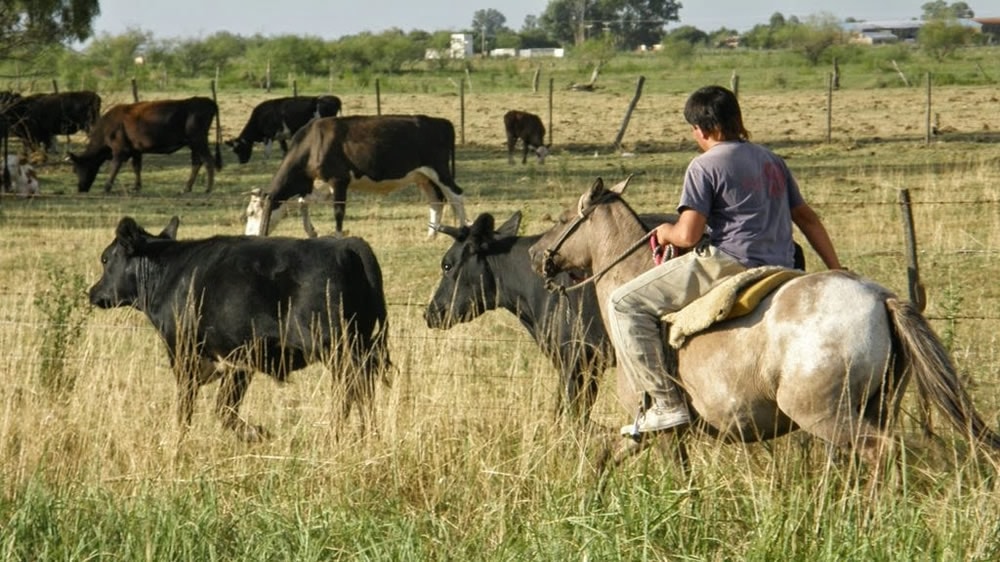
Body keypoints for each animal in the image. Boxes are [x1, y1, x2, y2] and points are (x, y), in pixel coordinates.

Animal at [68, 96, 221, 192]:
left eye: (76, 169)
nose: (80, 189)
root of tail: (207, 101)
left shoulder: (120, 149)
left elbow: (114, 167)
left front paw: (107, 187)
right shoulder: (135, 150)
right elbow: (137, 167)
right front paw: (136, 186)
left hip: (198, 140)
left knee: (208, 161)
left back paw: (208, 188)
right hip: (193, 144)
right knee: (197, 163)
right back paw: (187, 188)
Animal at [88, 214, 390, 438]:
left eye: (105, 258)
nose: (93, 292)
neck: (170, 274)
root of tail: (347, 244)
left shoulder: (186, 355)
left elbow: (189, 409)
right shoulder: (238, 363)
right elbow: (225, 409)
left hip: (337, 348)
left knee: (351, 389)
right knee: (361, 392)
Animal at [248, 112, 470, 237]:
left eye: (251, 213)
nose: (249, 236)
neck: (314, 144)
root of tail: (442, 122)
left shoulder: (339, 180)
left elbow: (338, 211)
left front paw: (338, 235)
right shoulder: (320, 184)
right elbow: (303, 203)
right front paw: (312, 231)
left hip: (440, 171)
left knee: (456, 195)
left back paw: (462, 231)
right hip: (422, 177)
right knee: (436, 201)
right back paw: (430, 235)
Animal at [528, 176, 996, 476]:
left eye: (565, 218)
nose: (536, 254)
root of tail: (881, 297)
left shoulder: (661, 429)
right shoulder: (640, 432)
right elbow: (604, 460)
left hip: (826, 414)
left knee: (880, 453)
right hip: (873, 406)